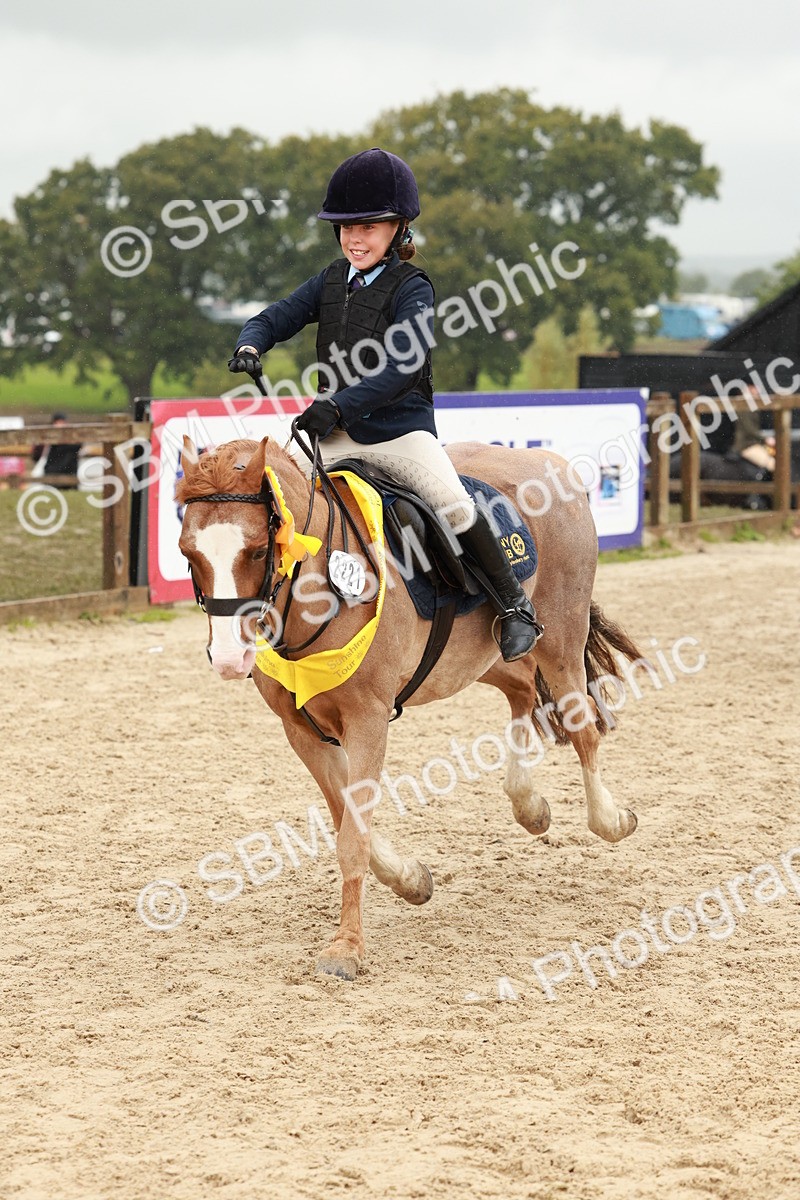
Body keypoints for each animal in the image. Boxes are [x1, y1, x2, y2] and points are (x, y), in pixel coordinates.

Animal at [176, 434, 643, 980]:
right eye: (188, 552)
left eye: (255, 550)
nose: (230, 659)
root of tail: (548, 460)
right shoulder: (301, 729)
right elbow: (346, 818)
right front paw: (411, 881)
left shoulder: (368, 720)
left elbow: (352, 837)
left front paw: (346, 949)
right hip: (476, 657)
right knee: (522, 689)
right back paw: (529, 805)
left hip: (561, 634)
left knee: (581, 725)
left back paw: (610, 820)